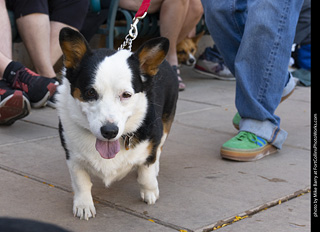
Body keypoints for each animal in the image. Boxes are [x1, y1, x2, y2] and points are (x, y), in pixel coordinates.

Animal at [56, 27, 179, 219]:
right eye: (90, 92)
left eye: (126, 95)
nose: (109, 131)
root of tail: (166, 63)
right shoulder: (72, 156)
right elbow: (81, 182)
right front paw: (84, 205)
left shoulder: (152, 140)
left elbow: (146, 173)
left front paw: (150, 192)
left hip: (167, 121)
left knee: (158, 149)